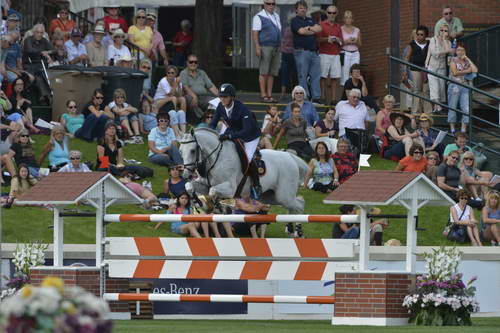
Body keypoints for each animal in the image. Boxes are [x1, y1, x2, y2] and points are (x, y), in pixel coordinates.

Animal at [180, 127, 308, 236]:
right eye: (180, 151)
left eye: (192, 150)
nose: (186, 174)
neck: (216, 158)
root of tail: (290, 157)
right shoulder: (204, 184)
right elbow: (189, 186)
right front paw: (199, 203)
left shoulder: (230, 188)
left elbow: (213, 191)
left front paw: (217, 207)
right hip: (270, 196)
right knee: (297, 203)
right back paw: (290, 228)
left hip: (284, 195)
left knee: (299, 205)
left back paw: (298, 231)